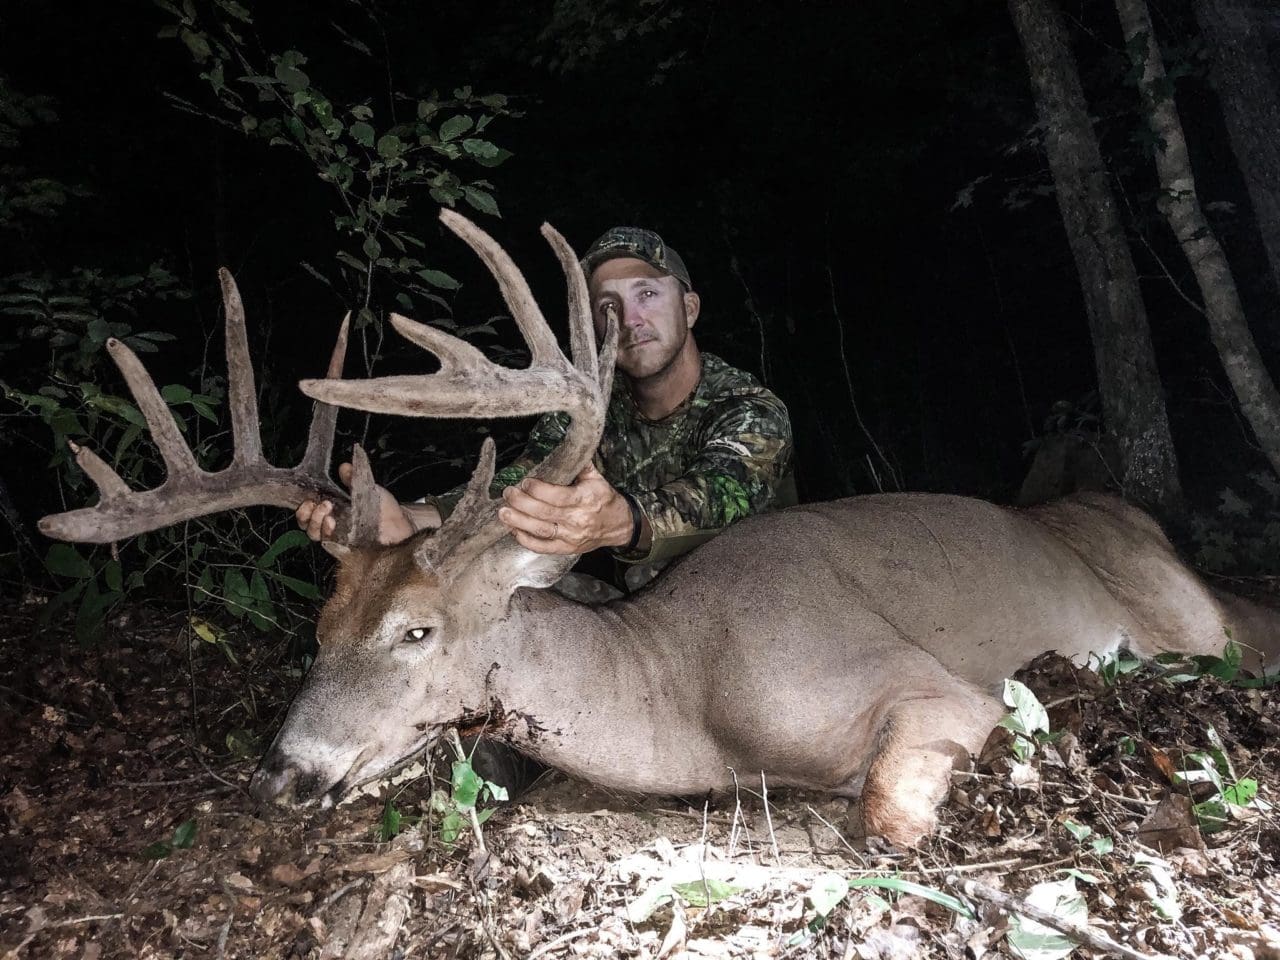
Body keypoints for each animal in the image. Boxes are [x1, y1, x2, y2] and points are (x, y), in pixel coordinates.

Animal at [39, 210, 1280, 847]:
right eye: (318, 627)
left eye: (417, 632)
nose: (287, 775)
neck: (687, 690)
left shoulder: (937, 688)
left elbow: (883, 813)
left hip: (1187, 615)